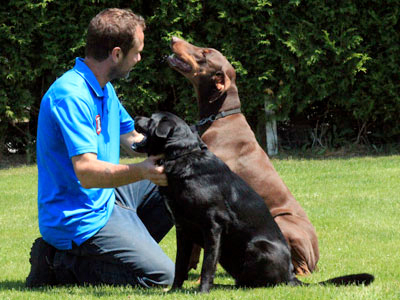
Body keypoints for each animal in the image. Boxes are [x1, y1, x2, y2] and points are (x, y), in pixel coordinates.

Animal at [133, 111, 374, 292]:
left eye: (151, 119)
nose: (135, 116)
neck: (183, 155)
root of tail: (291, 276)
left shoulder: (212, 226)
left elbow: (207, 265)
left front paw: (202, 291)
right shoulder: (183, 229)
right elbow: (181, 264)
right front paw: (174, 290)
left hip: (256, 247)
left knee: (256, 283)